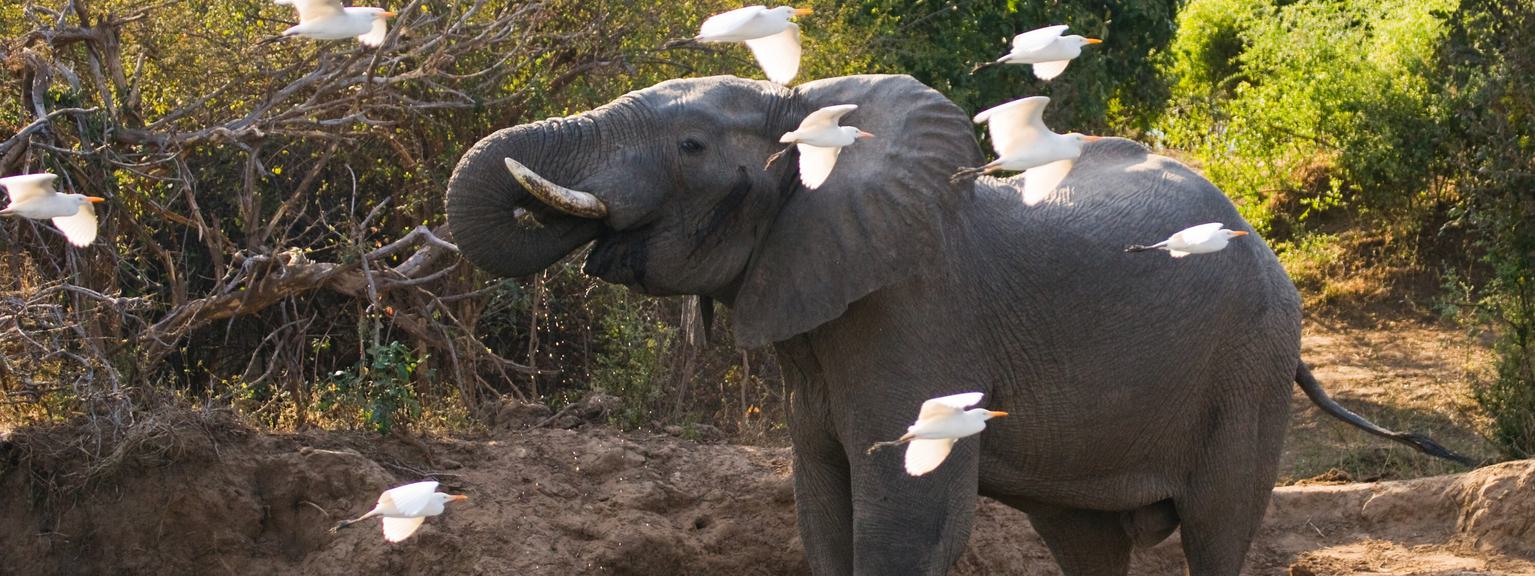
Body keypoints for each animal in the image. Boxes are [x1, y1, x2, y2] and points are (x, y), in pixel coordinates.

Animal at [444, 74, 1471, 575]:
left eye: (690, 147)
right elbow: (821, 514)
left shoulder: (914, 317)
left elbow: (904, 518)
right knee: (1088, 546)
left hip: (1248, 365)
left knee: (1217, 533)